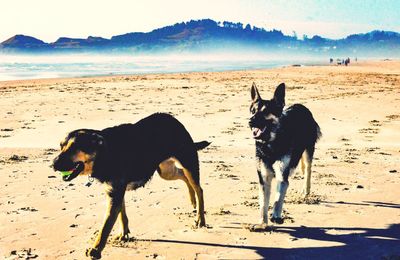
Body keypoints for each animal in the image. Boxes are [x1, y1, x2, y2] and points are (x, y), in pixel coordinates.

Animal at [52, 113, 211, 258]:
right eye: (61, 146)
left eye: (74, 147)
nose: (53, 164)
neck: (104, 153)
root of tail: (174, 119)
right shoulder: (115, 191)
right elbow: (122, 215)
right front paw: (123, 234)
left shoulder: (115, 194)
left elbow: (105, 227)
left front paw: (96, 249)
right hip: (165, 171)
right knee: (184, 177)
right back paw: (192, 200)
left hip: (187, 163)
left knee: (199, 188)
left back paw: (200, 218)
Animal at [248, 82, 320, 229]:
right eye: (253, 111)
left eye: (265, 111)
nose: (250, 121)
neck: (270, 144)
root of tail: (301, 106)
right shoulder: (264, 178)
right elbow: (263, 204)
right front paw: (262, 223)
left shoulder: (282, 175)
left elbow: (278, 197)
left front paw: (276, 216)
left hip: (309, 151)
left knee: (308, 170)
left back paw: (306, 191)